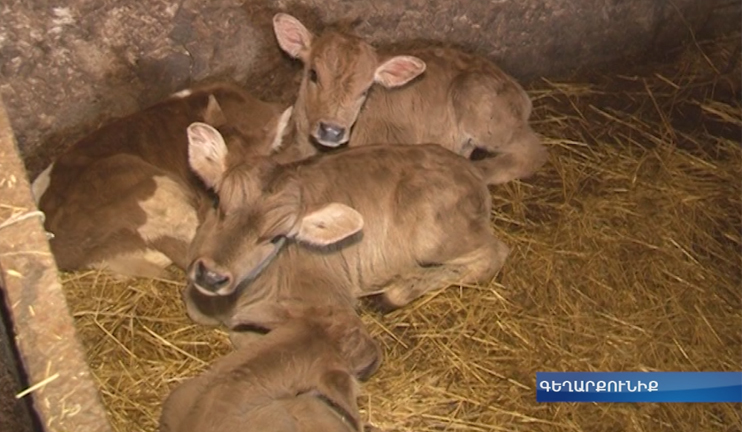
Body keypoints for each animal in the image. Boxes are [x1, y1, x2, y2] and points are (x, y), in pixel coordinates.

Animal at [181, 122, 510, 342]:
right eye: (216, 200)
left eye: (278, 238)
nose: (211, 276)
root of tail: (470, 169)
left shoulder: (333, 304)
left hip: (435, 237)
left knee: (492, 255)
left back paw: (393, 293)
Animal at [271, 13, 548, 186]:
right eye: (313, 74)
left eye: (365, 90)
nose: (331, 130)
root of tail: (516, 88)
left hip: (479, 106)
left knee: (532, 152)